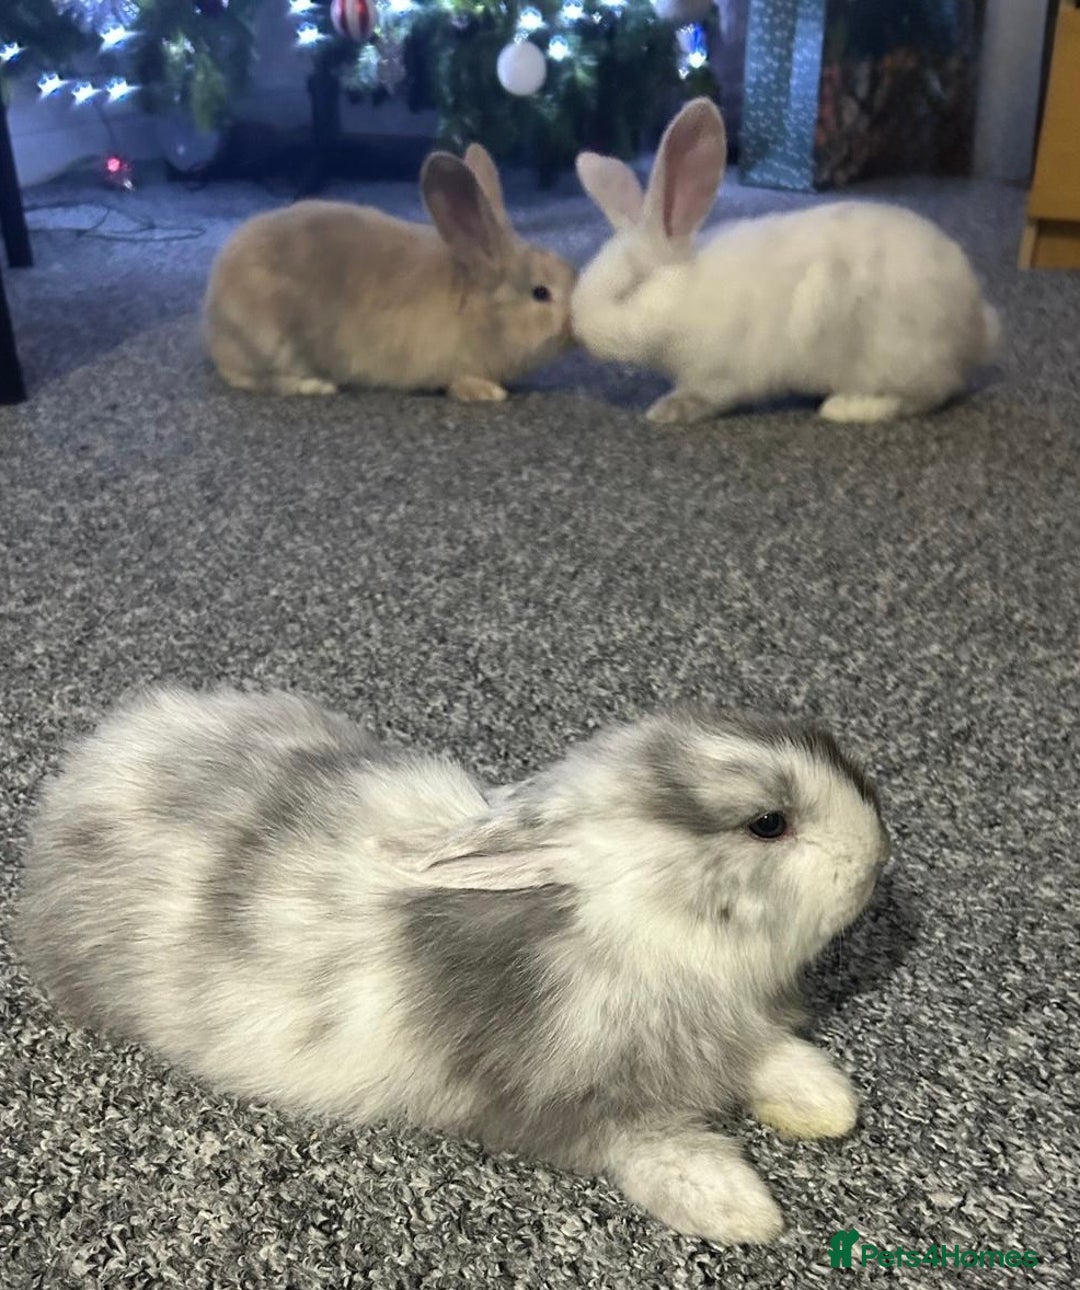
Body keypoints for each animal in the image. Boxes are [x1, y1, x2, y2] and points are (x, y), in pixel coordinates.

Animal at [17, 687, 889, 1245]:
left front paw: (826, 1103)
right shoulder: (571, 1104)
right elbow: (652, 1148)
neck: (640, 930)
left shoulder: (730, 1025)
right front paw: (742, 1210)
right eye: (768, 824)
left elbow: (772, 1058)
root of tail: (81, 775)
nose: (875, 862)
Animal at [202, 144, 576, 403]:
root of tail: (214, 314)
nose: (572, 327)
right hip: (269, 342)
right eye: (541, 293)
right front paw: (487, 393)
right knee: (246, 377)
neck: (477, 310)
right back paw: (317, 385)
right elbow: (459, 381)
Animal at [571, 97, 1001, 425]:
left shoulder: (718, 373)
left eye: (632, 286)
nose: (577, 330)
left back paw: (845, 408)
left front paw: (666, 410)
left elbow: (704, 396)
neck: (685, 294)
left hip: (897, 355)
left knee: (926, 395)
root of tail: (976, 326)